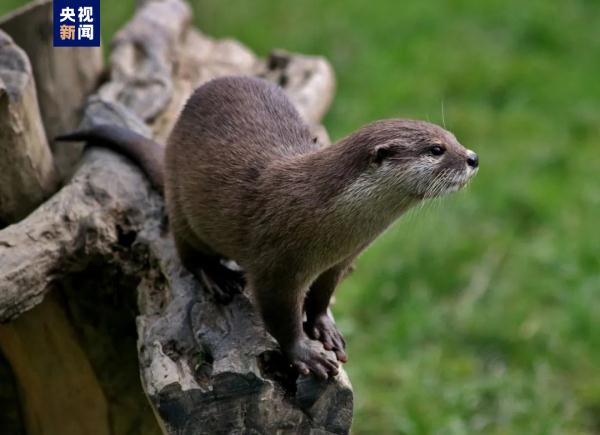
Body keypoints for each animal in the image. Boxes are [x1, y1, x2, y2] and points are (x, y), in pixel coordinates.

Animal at [56, 76, 478, 380]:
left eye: (454, 138)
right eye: (436, 149)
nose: (473, 157)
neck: (327, 219)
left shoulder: (339, 261)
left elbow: (322, 296)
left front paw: (323, 328)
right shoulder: (276, 265)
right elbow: (280, 316)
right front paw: (305, 354)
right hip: (182, 205)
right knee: (187, 252)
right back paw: (215, 277)